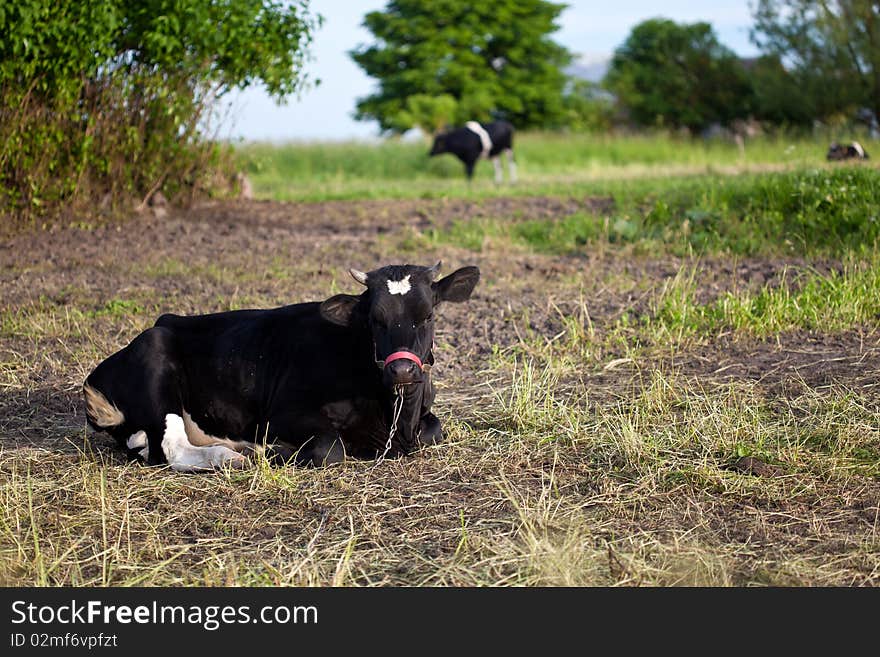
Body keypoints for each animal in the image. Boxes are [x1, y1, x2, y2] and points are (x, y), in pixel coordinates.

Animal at [82, 262, 482, 472]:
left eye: (428, 316)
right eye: (374, 319)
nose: (402, 371)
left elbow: (435, 430)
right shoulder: (282, 416)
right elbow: (330, 448)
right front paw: (272, 451)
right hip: (156, 358)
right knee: (172, 449)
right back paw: (234, 455)